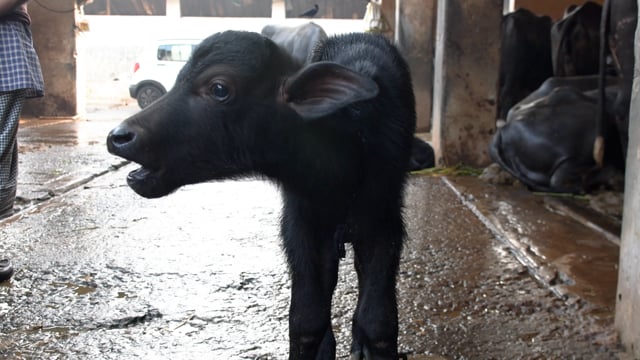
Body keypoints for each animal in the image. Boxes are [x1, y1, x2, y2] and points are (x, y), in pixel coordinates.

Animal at [106, 31, 416, 360]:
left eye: (219, 88)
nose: (119, 137)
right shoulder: (300, 225)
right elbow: (306, 321)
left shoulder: (383, 222)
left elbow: (378, 322)